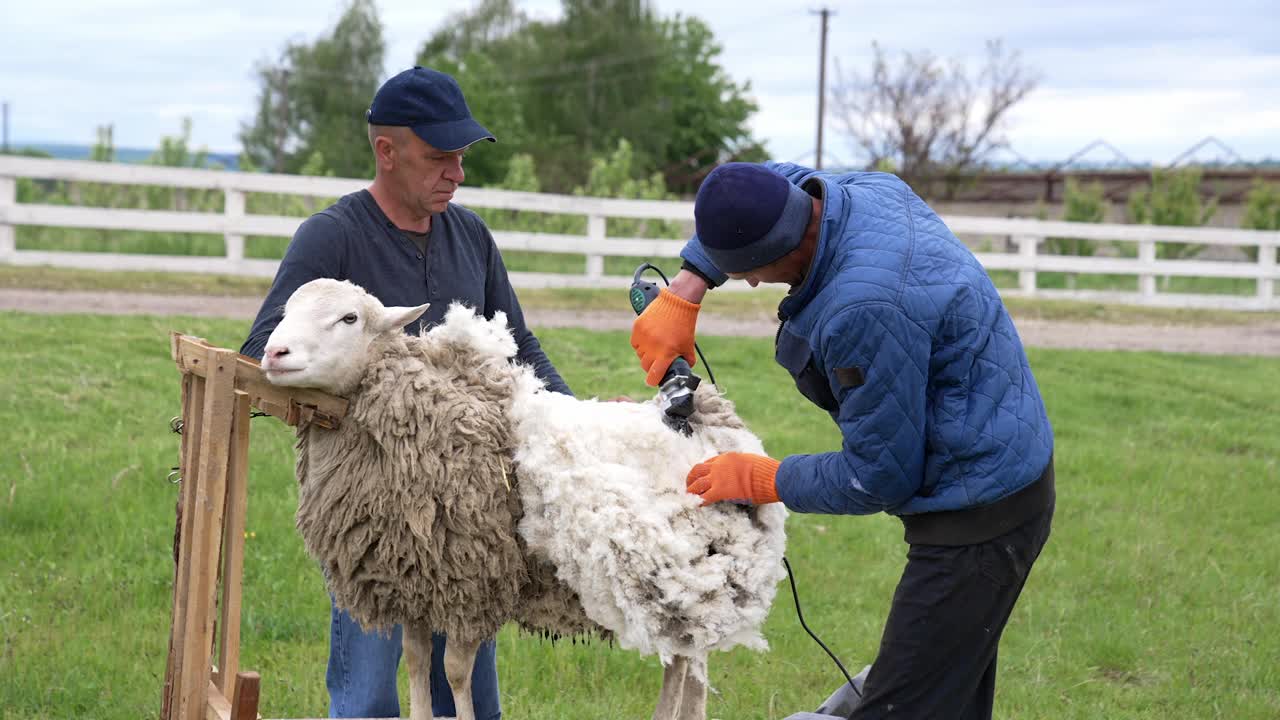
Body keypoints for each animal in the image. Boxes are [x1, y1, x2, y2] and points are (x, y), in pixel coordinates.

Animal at [261, 275, 788, 717]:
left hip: (696, 581)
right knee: (683, 661)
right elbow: (415, 661)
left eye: (349, 318)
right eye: (286, 310)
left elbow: (455, 672)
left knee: (688, 666)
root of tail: (716, 416)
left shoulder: (472, 583)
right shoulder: (415, 581)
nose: (274, 352)